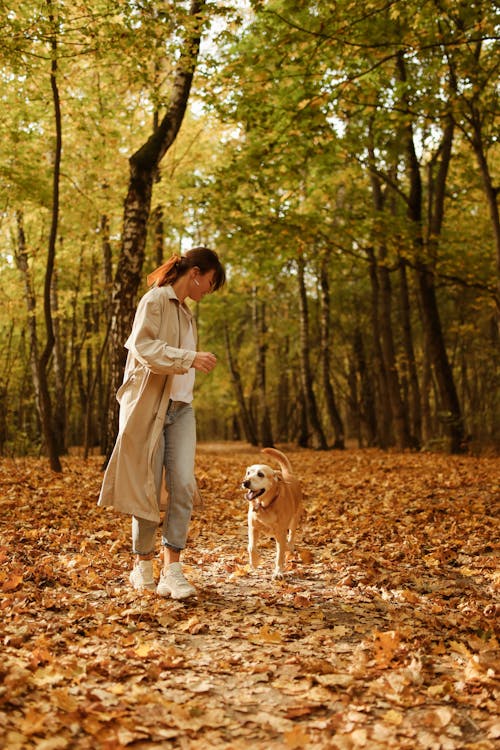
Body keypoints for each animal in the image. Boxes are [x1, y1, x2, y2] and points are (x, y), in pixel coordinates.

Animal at [241, 446, 302, 580]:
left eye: (260, 474)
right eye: (248, 473)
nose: (245, 482)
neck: (265, 506)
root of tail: (286, 473)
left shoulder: (281, 532)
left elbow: (280, 555)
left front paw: (278, 572)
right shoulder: (253, 528)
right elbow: (251, 547)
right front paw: (255, 562)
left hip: (294, 518)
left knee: (291, 535)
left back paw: (289, 546)